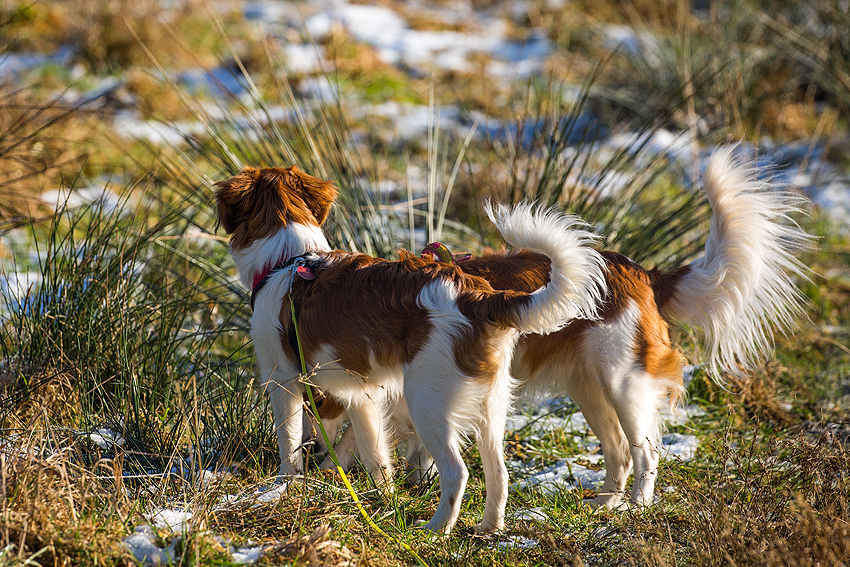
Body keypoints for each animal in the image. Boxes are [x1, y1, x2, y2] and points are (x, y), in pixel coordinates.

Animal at [215, 164, 608, 532]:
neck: (287, 261)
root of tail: (476, 296)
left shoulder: (282, 380)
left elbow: (289, 442)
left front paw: (283, 488)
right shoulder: (362, 394)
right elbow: (374, 454)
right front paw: (384, 498)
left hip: (428, 403)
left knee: (456, 472)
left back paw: (437, 530)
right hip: (490, 405)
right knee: (498, 471)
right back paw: (489, 527)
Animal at [304, 146, 808, 510]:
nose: (306, 451)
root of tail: (638, 271)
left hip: (623, 383)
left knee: (644, 452)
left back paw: (637, 507)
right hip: (588, 386)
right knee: (618, 450)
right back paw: (605, 504)